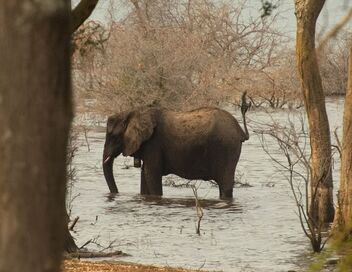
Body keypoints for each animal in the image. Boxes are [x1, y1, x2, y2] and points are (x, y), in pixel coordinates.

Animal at [102, 94, 250, 199]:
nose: (116, 194)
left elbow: (151, 175)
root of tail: (240, 131)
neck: (134, 112)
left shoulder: (154, 144)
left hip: (227, 148)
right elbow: (145, 176)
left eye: (113, 135)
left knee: (225, 185)